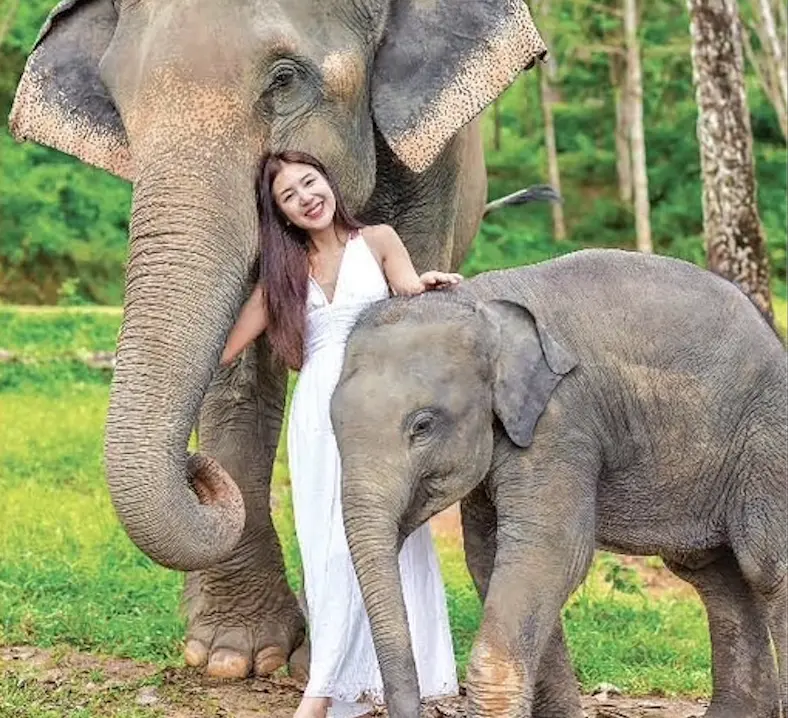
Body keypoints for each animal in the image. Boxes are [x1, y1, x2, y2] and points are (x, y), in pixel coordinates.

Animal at [9, 0, 549, 680]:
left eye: (285, 79)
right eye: (120, 102)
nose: (195, 469)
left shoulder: (433, 172)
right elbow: (237, 368)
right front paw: (235, 656)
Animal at [331, 248, 788, 718]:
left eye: (422, 425)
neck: (479, 302)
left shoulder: (562, 420)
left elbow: (549, 551)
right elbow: (490, 555)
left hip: (766, 437)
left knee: (766, 565)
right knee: (715, 574)